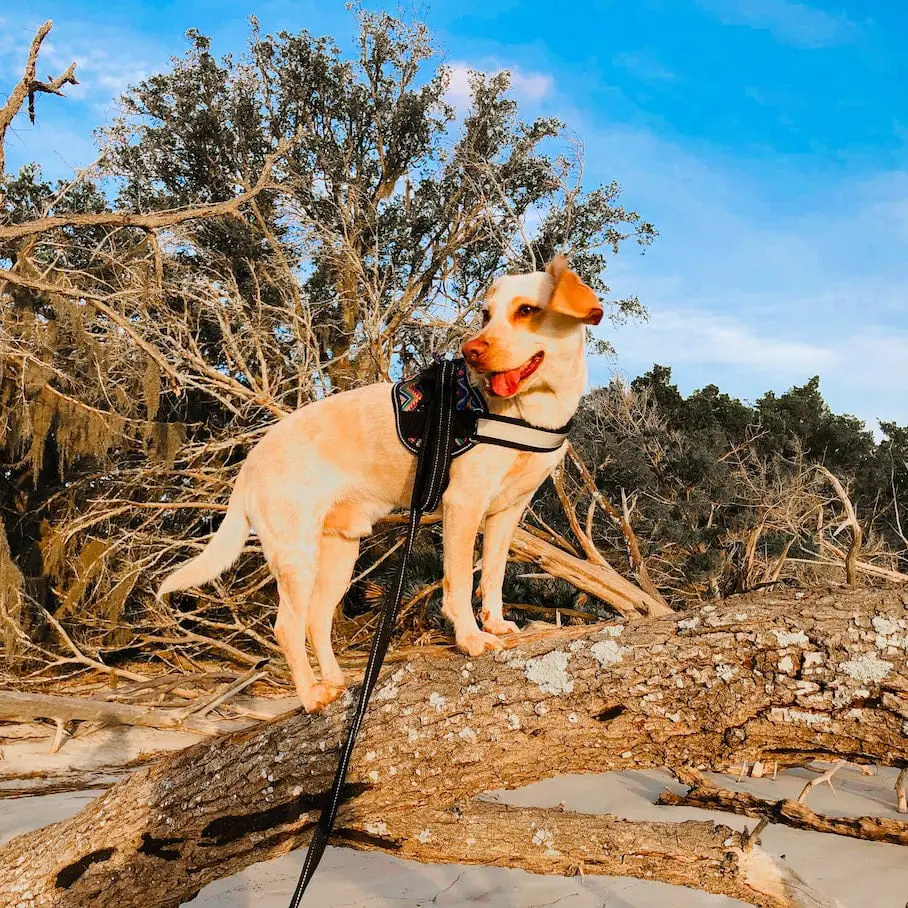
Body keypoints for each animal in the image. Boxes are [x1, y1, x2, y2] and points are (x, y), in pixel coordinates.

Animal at [158, 252, 604, 712]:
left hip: (339, 554)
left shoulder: (506, 513)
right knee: (287, 626)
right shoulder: (464, 504)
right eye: (486, 314)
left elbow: (493, 577)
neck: (532, 408)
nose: (471, 351)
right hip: (296, 555)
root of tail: (251, 460)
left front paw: (495, 625)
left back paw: (337, 682)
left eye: (527, 310)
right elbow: (460, 583)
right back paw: (312, 697)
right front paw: (471, 639)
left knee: (316, 620)